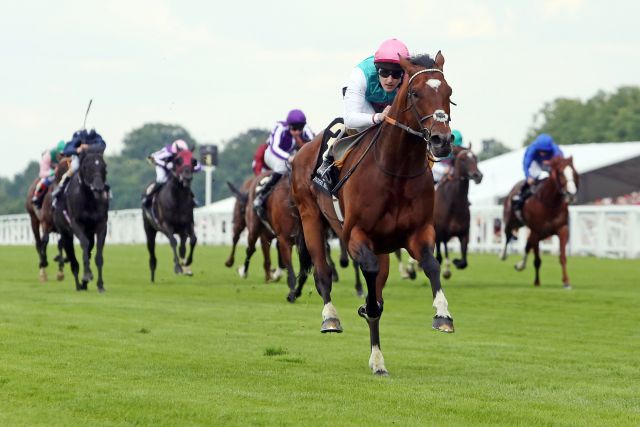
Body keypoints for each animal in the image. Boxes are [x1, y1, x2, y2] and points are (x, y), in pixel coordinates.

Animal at [52, 145, 109, 292]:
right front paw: (87, 275)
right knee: (72, 258)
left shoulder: (101, 225)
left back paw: (83, 283)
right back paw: (79, 283)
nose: (98, 187)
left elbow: (98, 254)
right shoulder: (76, 223)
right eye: (86, 166)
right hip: (65, 233)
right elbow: (84, 244)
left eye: (104, 165)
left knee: (88, 250)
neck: (89, 200)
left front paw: (100, 285)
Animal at [292, 52, 456, 374]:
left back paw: (378, 360)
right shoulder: (355, 235)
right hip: (310, 217)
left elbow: (431, 264)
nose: (442, 141)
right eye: (415, 93)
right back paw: (331, 317)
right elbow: (368, 285)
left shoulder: (418, 233)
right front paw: (362, 306)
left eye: (449, 92)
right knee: (322, 272)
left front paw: (442, 315)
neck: (395, 170)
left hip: (382, 249)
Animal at [432, 145, 482, 280]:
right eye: (463, 159)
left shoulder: (464, 233)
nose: (478, 175)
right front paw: (446, 270)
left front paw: (457, 262)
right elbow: (441, 254)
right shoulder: (440, 232)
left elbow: (464, 261)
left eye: (475, 157)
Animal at [502, 155, 576, 290]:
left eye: (572, 171)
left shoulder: (562, 229)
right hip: (512, 221)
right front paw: (537, 282)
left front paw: (567, 282)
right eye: (560, 173)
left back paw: (520, 265)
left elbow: (562, 257)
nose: (572, 194)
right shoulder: (536, 232)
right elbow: (537, 260)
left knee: (526, 246)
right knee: (508, 234)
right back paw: (503, 255)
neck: (550, 203)